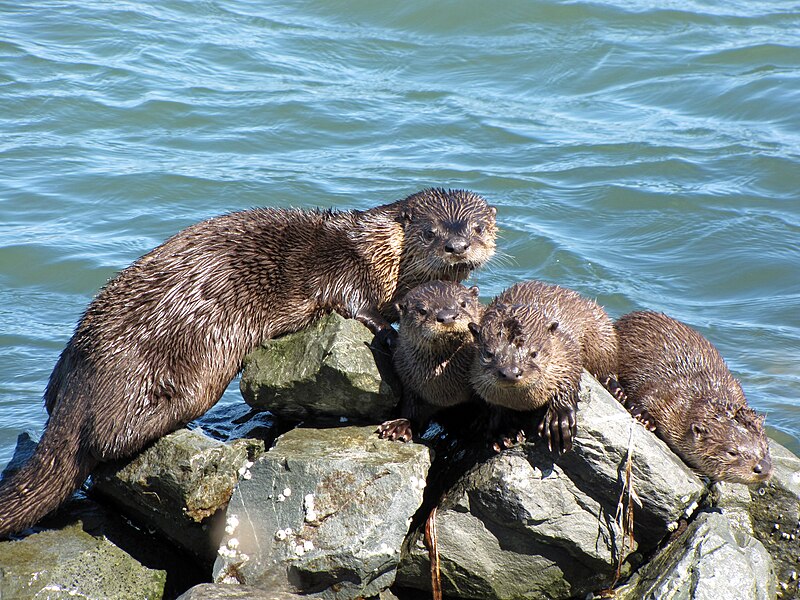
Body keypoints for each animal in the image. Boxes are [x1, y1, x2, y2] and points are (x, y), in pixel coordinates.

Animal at [378, 280, 484, 440]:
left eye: (463, 303)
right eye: (422, 310)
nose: (447, 316)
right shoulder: (410, 384)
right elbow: (412, 410)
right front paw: (400, 425)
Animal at [468, 282, 620, 454]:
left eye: (534, 353)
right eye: (489, 353)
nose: (511, 372)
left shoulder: (567, 350)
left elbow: (570, 376)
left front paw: (559, 420)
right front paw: (502, 433)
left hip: (602, 331)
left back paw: (612, 386)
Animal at [616, 312, 772, 486]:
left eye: (766, 448)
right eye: (732, 452)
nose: (762, 468)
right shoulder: (663, 394)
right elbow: (643, 397)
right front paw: (643, 417)